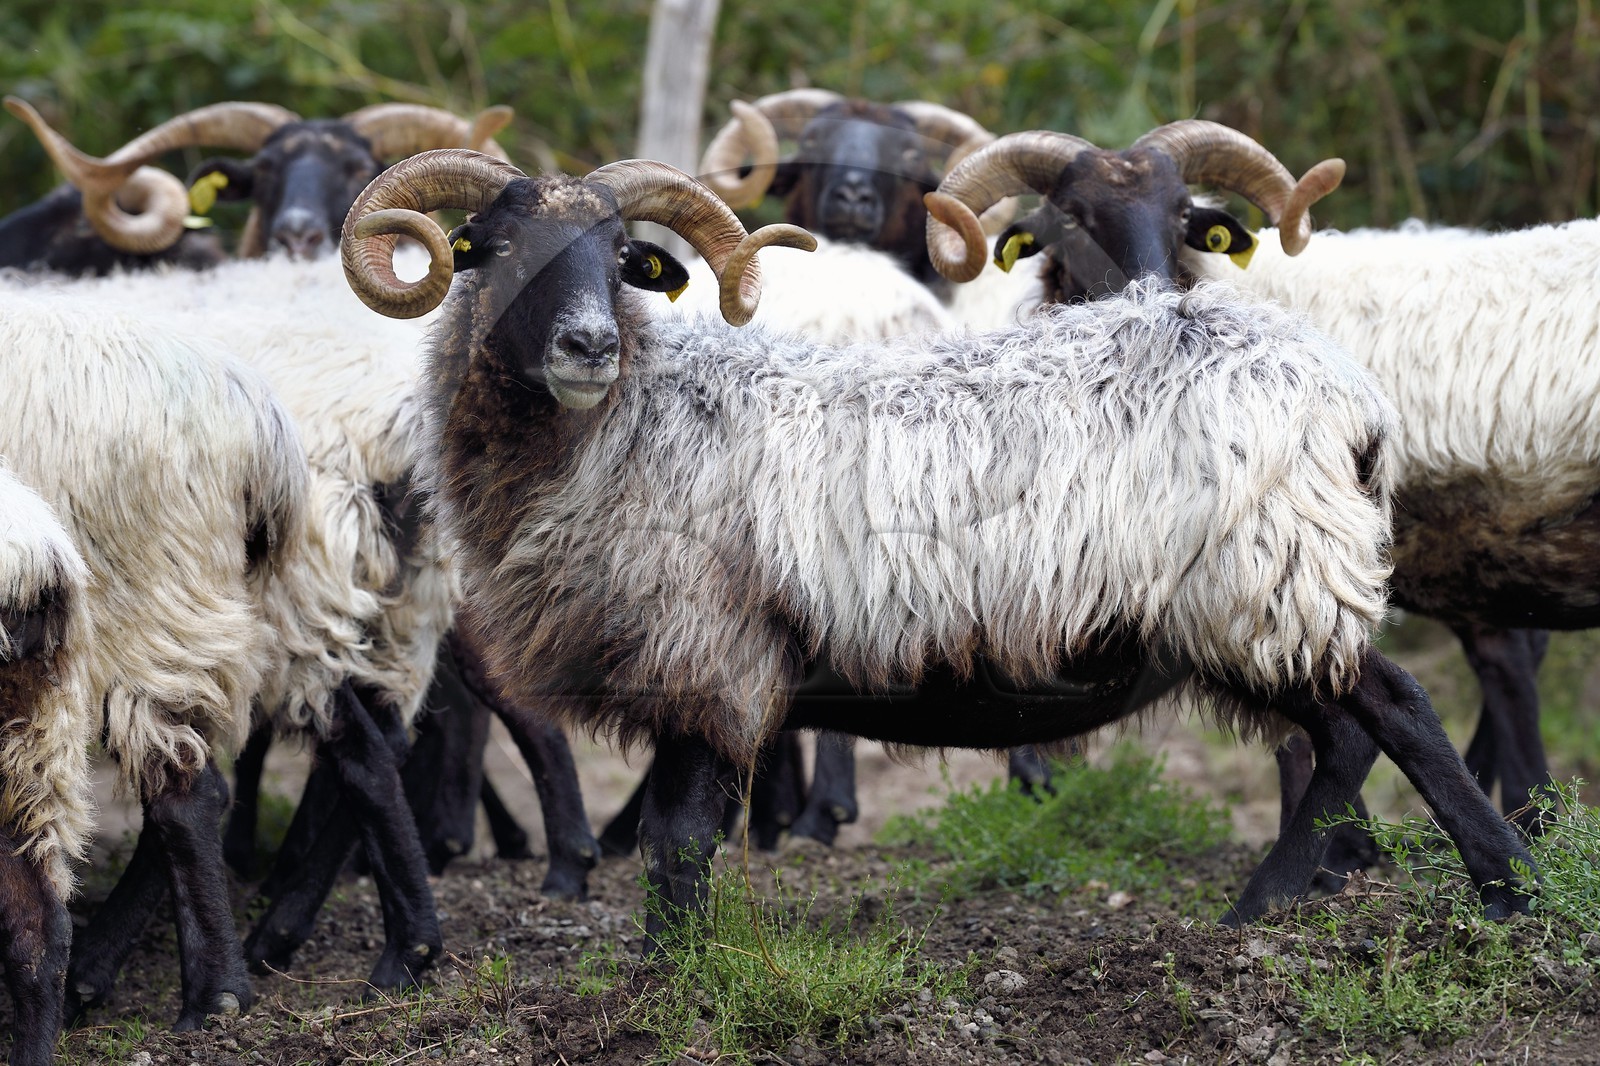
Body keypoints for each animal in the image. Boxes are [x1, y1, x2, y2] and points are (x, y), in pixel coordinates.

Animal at [336, 148, 1533, 942]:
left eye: (623, 260)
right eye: (491, 251)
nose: (587, 344)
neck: (629, 416)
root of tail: (1349, 395)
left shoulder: (705, 657)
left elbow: (678, 845)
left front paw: (673, 978)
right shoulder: (704, 671)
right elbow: (684, 843)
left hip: (1271, 575)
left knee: (1392, 710)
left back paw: (1507, 885)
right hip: (1243, 604)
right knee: (1339, 736)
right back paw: (1264, 905)